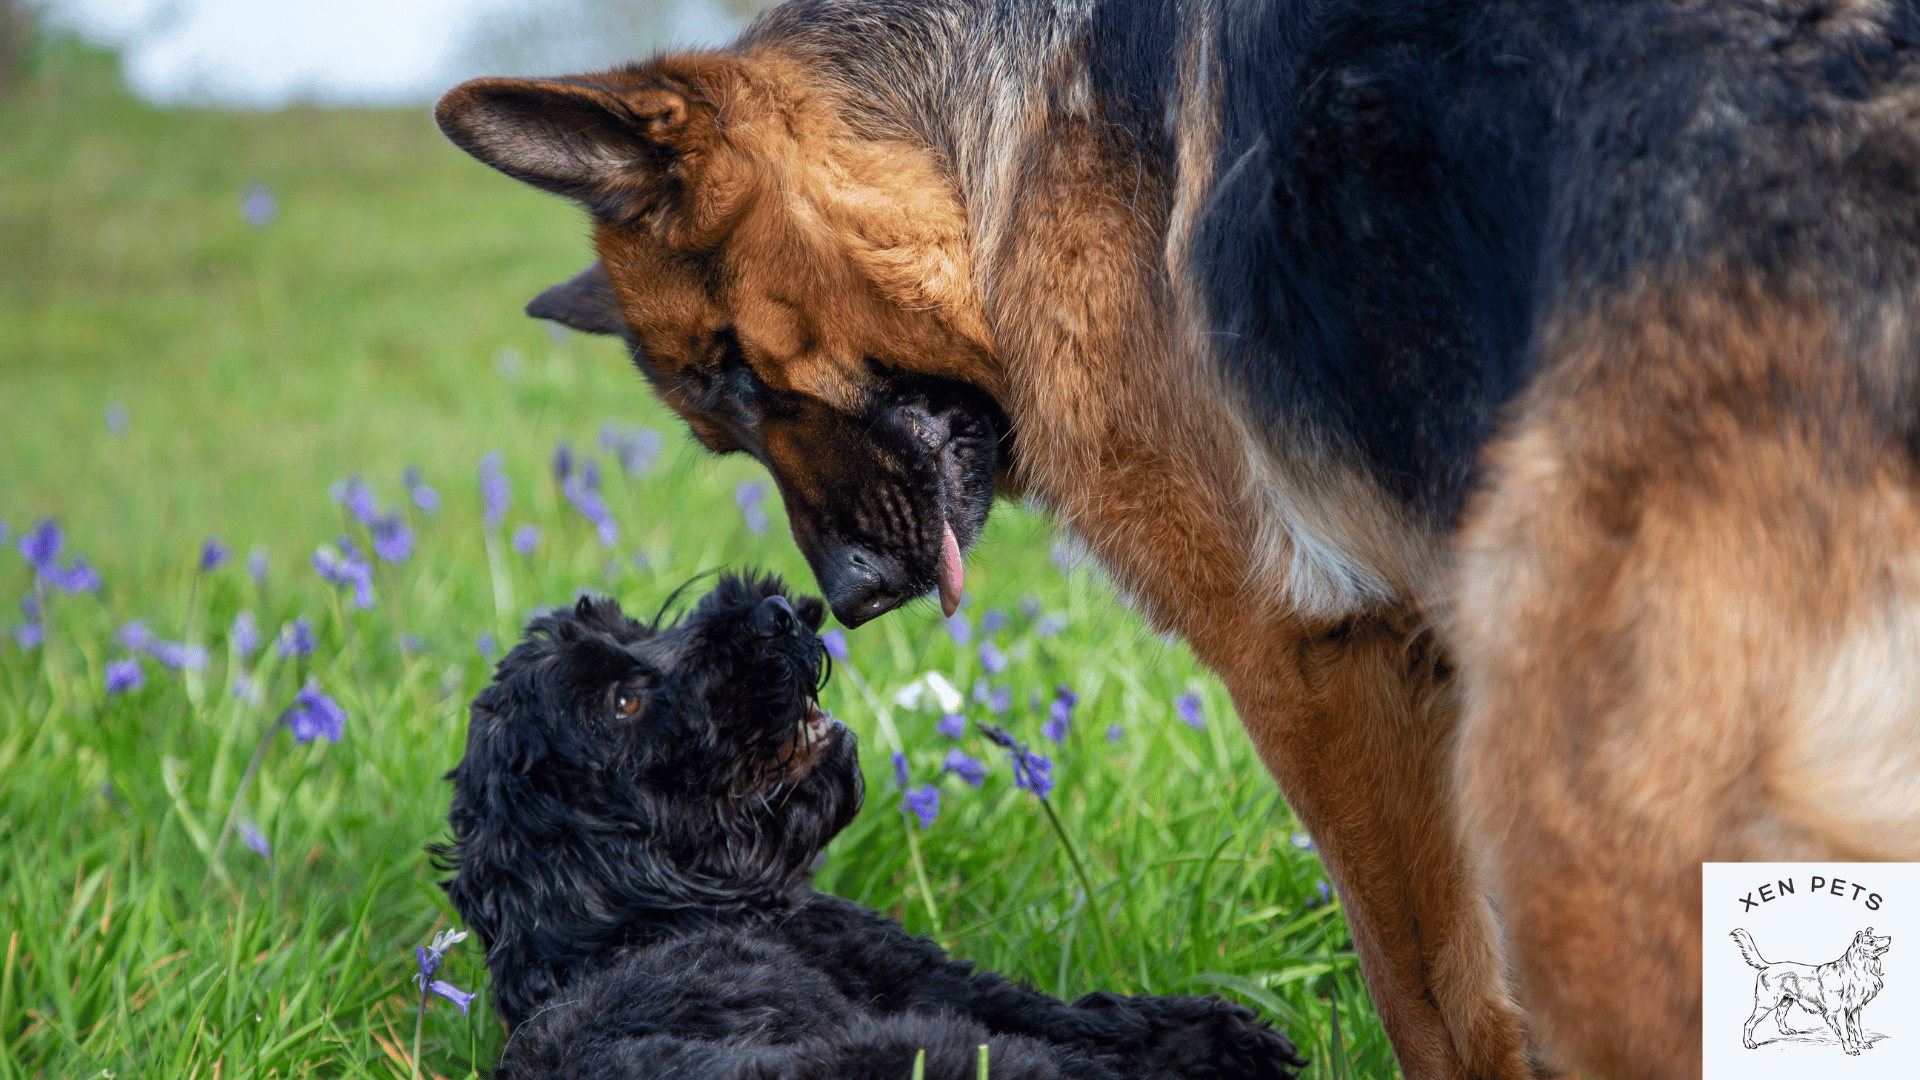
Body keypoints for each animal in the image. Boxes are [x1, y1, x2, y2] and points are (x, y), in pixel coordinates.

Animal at [439, 576, 1305, 1076]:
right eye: (623, 700)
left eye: (632, 626)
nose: (775, 613)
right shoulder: (920, 977)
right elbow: (1068, 1017)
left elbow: (1082, 1010)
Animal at [1735, 926, 1896, 1053]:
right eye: (1871, 941)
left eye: (1876, 937)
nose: (1889, 937)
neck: (1855, 970)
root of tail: (1769, 966)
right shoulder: (1837, 1012)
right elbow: (1845, 1033)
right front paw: (1850, 1049)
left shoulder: (1854, 1009)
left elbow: (1857, 1029)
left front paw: (1862, 1044)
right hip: (1766, 1004)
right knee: (1749, 1023)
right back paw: (1749, 1043)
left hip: (1786, 1000)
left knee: (1779, 1016)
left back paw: (1786, 1031)